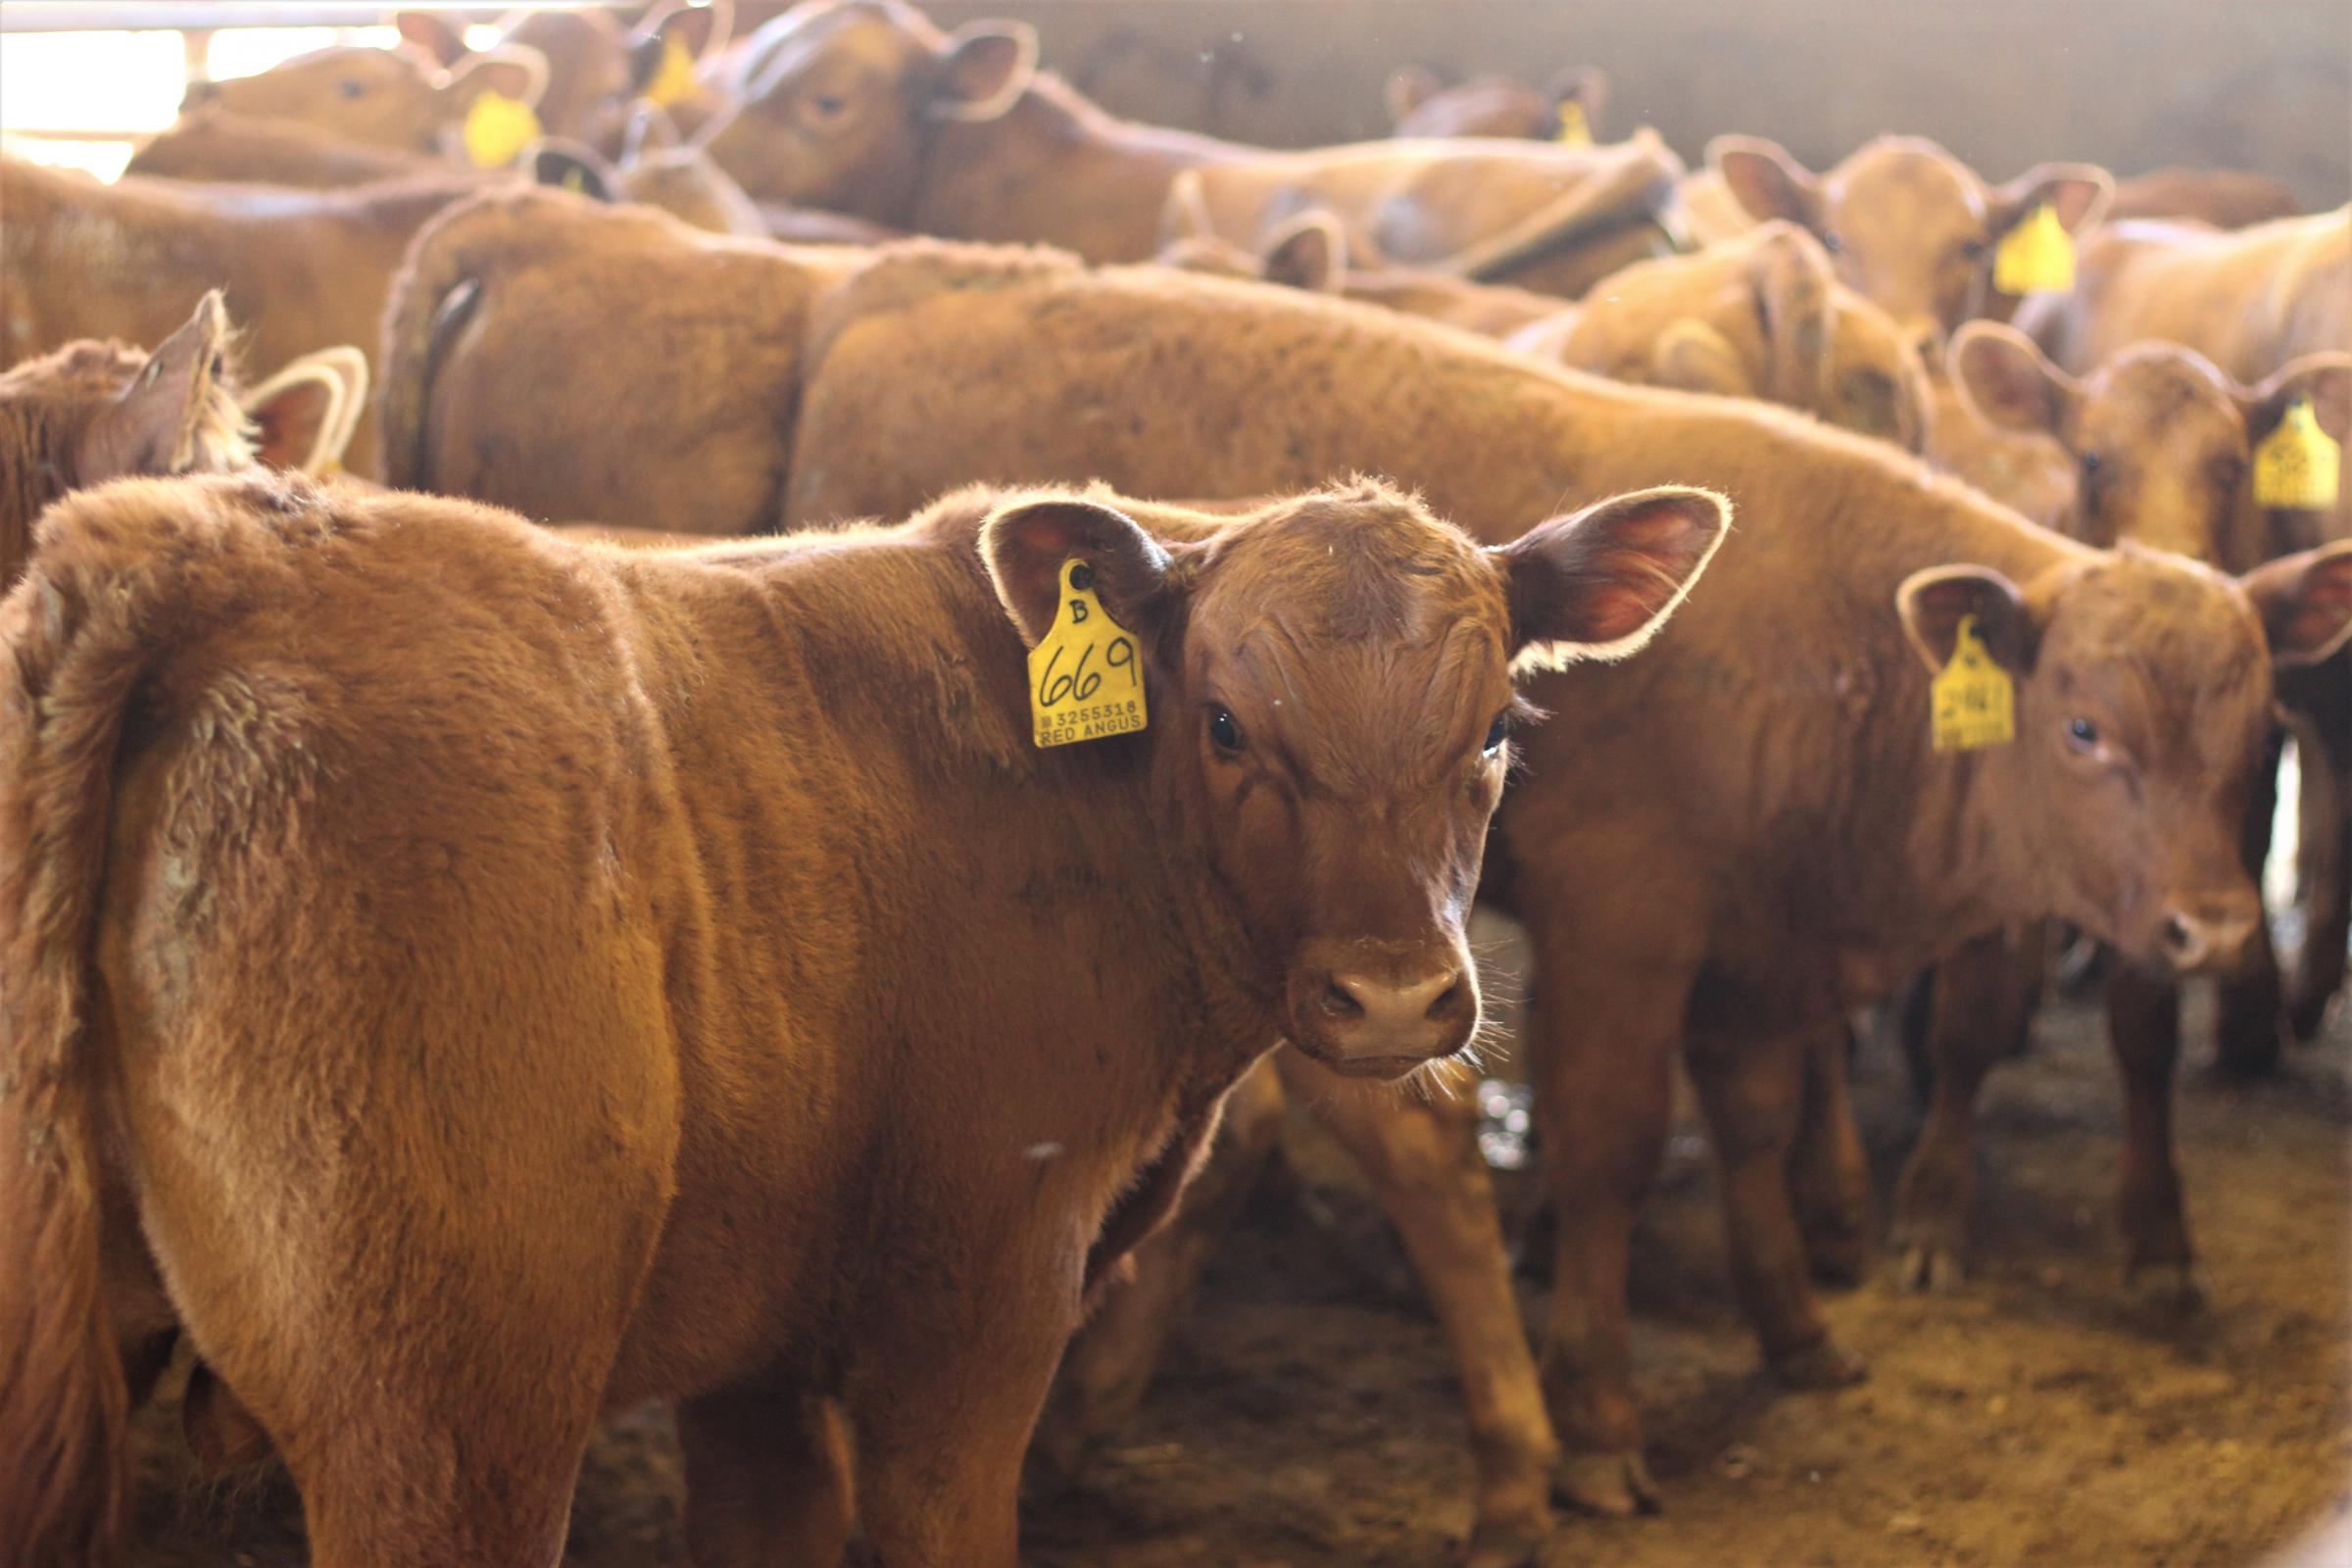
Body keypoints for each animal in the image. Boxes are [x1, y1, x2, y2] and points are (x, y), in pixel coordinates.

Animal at [0, 469, 1731, 1568]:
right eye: (1231, 723)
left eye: (1497, 724)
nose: (1393, 997)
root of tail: (213, 551)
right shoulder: (974, 1319)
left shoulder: (752, 1351)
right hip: (444, 1415)